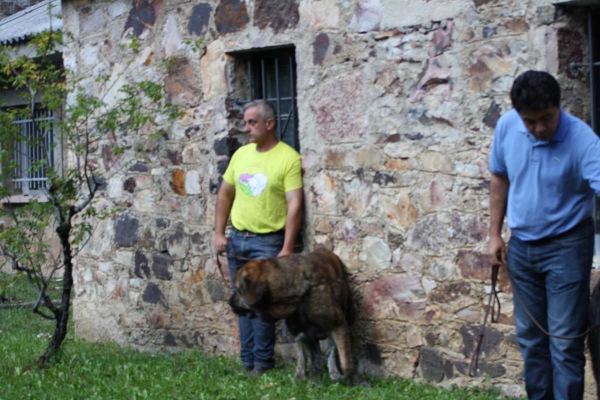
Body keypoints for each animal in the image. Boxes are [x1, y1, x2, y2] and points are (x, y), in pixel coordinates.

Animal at [227, 250, 368, 384]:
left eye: (238, 290)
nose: (229, 302)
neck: (300, 295)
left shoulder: (338, 325)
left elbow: (344, 361)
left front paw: (358, 381)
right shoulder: (306, 334)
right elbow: (313, 361)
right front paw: (314, 383)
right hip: (297, 331)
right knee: (302, 354)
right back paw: (300, 375)